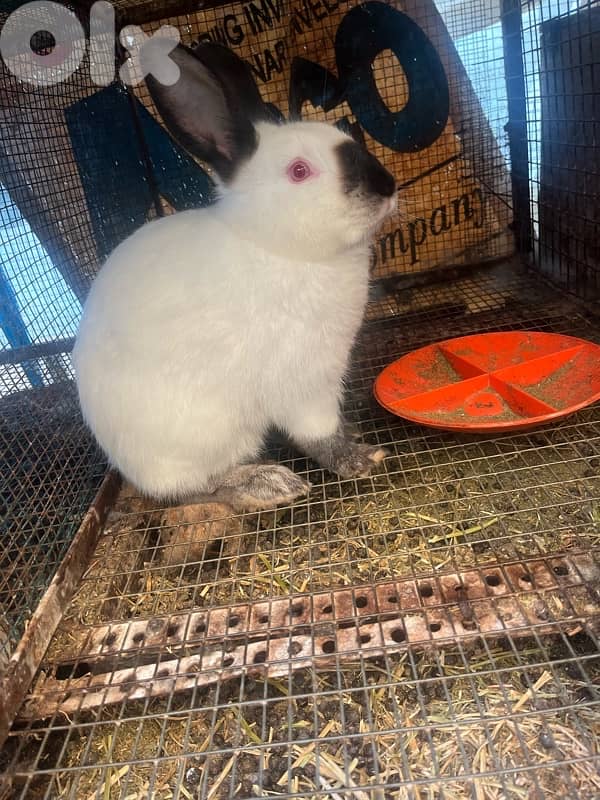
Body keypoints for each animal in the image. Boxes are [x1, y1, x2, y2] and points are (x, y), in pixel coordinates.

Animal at [72, 40, 397, 512]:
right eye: (299, 171)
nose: (387, 185)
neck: (274, 246)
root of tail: (121, 458)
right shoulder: (304, 377)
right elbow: (319, 434)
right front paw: (359, 459)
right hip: (203, 435)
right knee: (193, 488)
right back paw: (267, 484)